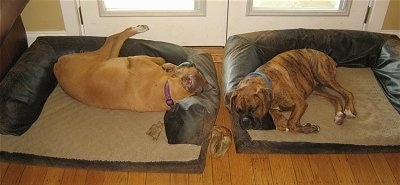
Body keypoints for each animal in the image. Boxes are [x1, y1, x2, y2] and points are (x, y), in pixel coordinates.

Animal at [53, 24, 212, 111]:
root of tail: (56, 66)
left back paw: (138, 29)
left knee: (113, 37)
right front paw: (168, 66)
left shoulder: (136, 58)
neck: (168, 91)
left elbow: (159, 59)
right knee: (114, 38)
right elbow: (162, 59)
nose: (190, 62)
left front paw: (168, 67)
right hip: (107, 57)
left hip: (103, 57)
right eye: (195, 68)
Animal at [225, 48, 356, 133]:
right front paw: (280, 121)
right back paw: (339, 115)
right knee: (336, 97)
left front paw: (309, 128)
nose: (245, 121)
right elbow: (276, 114)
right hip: (316, 88)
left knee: (347, 92)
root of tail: (328, 56)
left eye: (254, 109)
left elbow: (292, 123)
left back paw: (349, 110)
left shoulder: (300, 103)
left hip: (323, 76)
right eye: (238, 110)